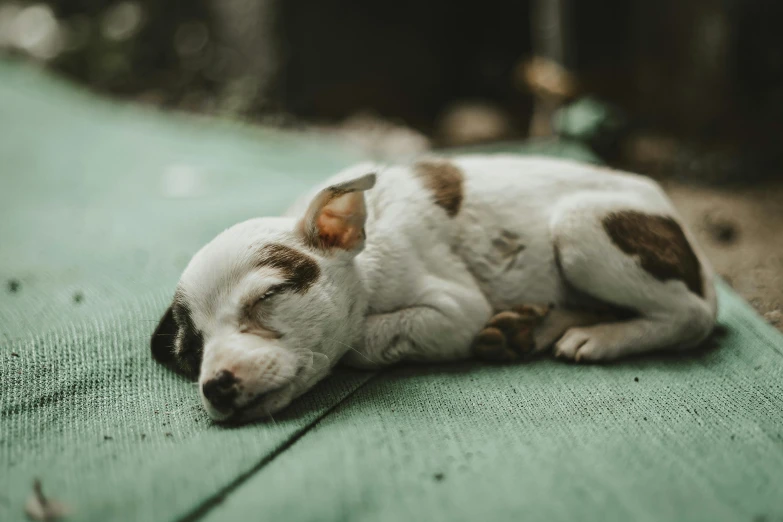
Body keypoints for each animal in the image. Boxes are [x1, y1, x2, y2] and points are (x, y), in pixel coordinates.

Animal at [149, 155, 716, 422]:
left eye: (267, 298)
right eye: (191, 354)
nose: (216, 385)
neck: (365, 256)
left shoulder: (455, 309)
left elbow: (362, 342)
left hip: (580, 229)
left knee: (691, 317)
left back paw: (598, 339)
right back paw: (529, 329)